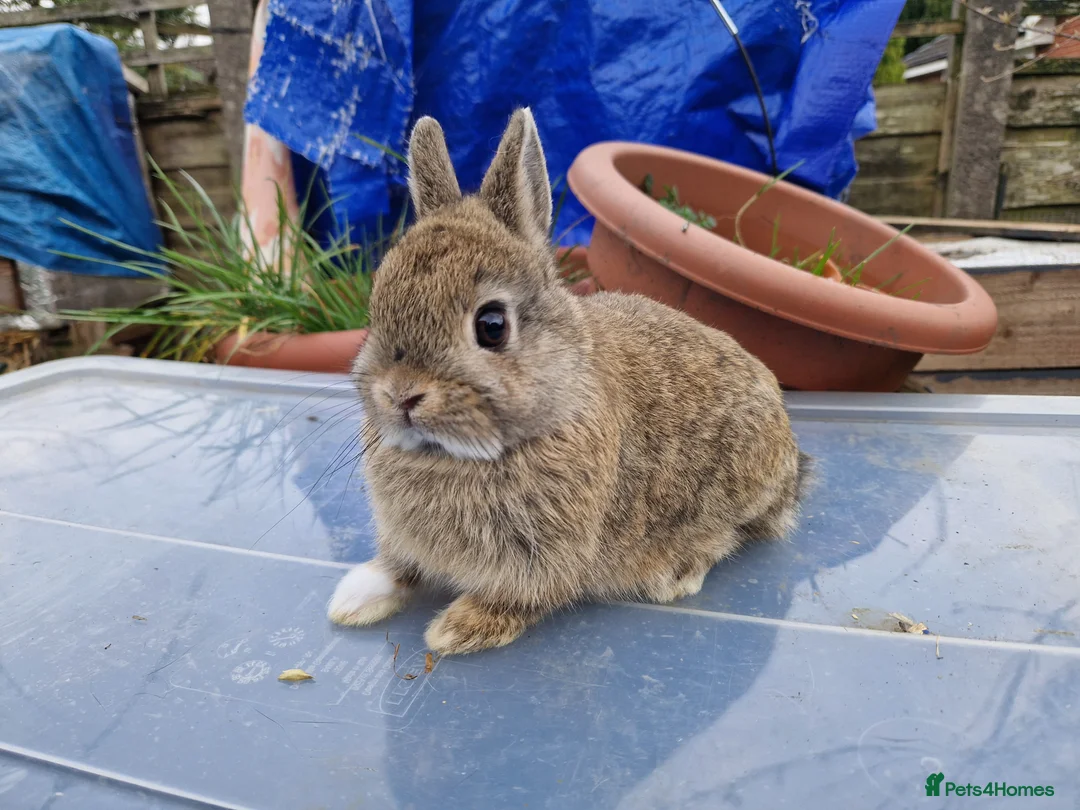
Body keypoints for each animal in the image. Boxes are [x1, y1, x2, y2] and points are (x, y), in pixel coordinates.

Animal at [327, 108, 812, 655]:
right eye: (377, 304)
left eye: (491, 325)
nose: (400, 394)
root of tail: (791, 459)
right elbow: (399, 567)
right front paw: (354, 597)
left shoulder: (546, 558)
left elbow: (522, 598)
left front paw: (455, 629)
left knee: (735, 533)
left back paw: (676, 573)